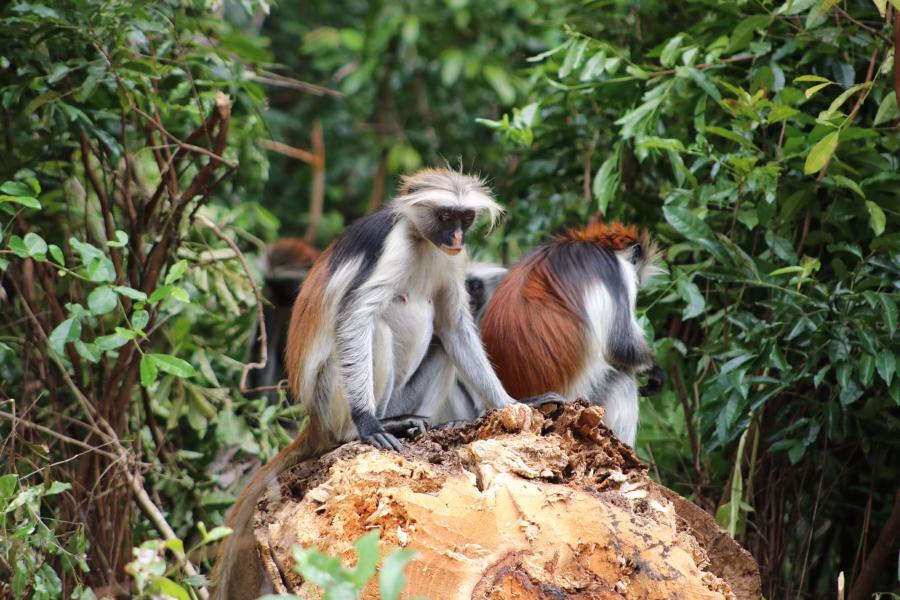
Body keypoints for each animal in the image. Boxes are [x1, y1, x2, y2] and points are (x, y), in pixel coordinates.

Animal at [214, 169, 560, 600]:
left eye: (464, 219)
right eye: (445, 216)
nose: (456, 237)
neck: (422, 239)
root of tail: (314, 422)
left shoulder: (452, 261)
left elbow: (453, 326)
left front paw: (517, 404)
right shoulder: (392, 244)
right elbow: (356, 317)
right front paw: (368, 424)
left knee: (442, 347)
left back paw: (422, 423)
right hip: (331, 395)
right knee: (372, 326)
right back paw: (365, 428)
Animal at [482, 221, 664, 446]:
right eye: (637, 271)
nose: (638, 278)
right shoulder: (617, 274)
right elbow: (620, 345)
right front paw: (655, 372)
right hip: (583, 396)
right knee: (623, 381)